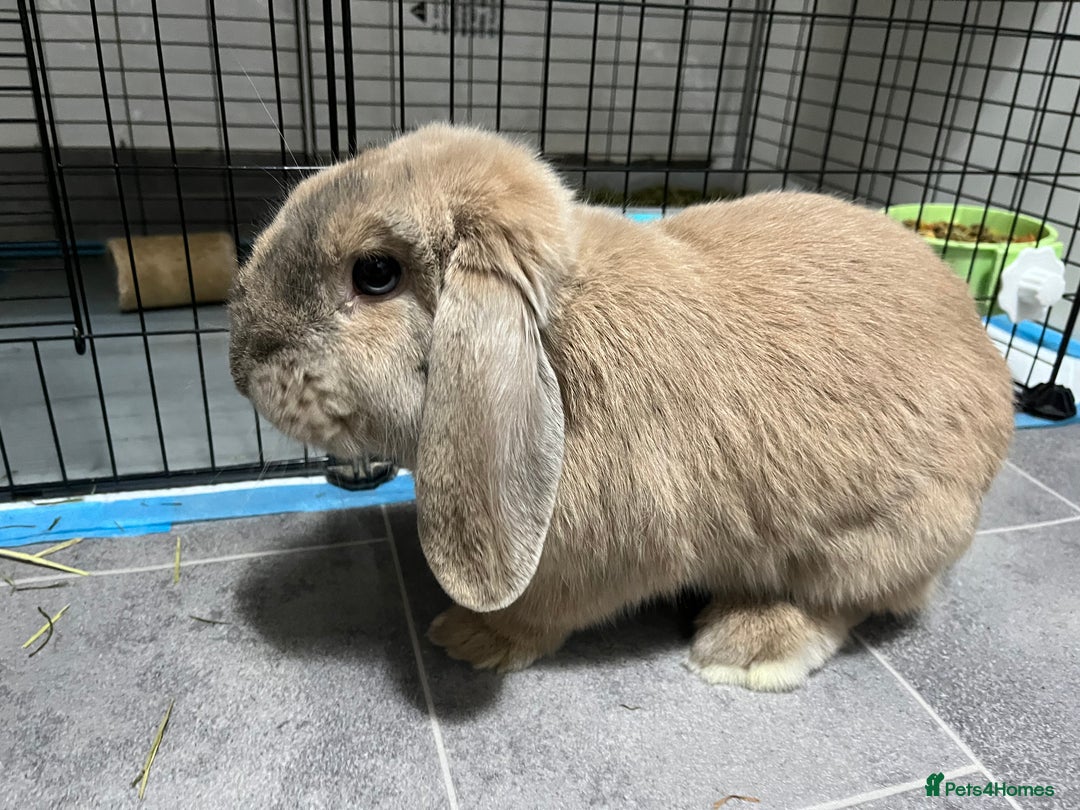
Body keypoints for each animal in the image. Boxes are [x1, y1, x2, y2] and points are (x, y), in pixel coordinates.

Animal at [228, 123, 1015, 692]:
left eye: (375, 274)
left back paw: (746, 648)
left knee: (845, 598)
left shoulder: (595, 550)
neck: (556, 336)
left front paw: (468, 639)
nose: (241, 364)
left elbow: (544, 611)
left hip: (878, 538)